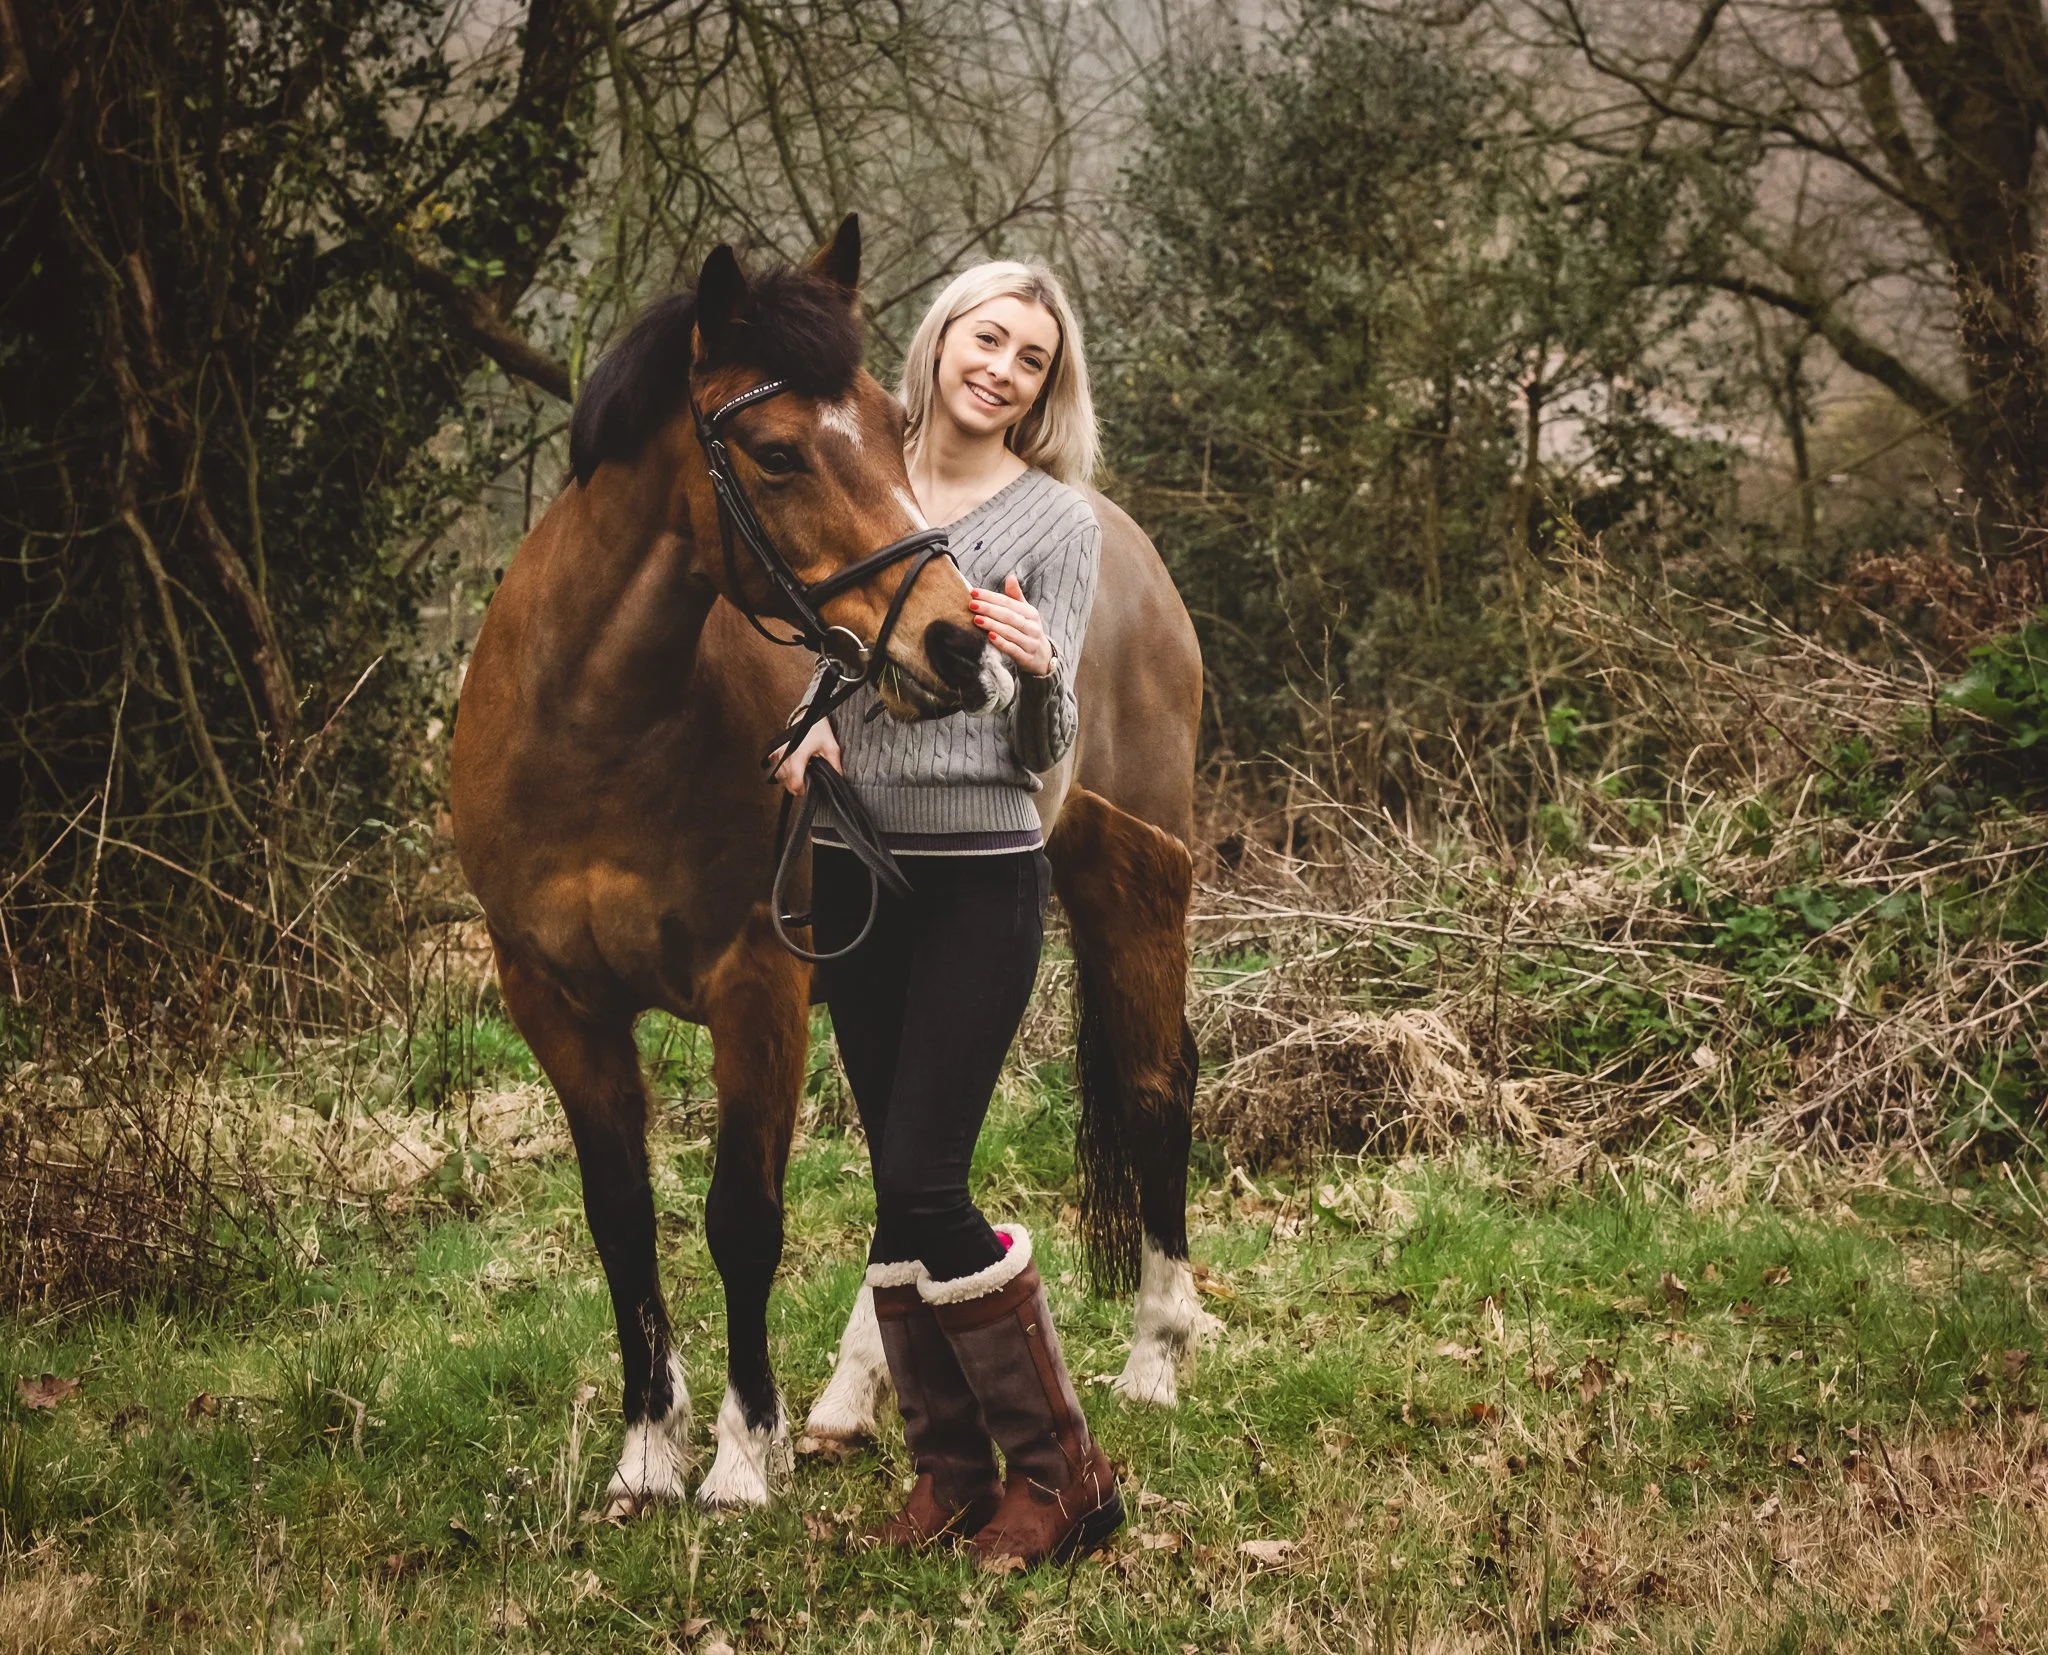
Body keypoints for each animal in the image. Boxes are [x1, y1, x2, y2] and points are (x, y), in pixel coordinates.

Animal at [449, 216, 1213, 1512]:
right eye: (773, 453)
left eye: (884, 424)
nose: (956, 644)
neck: (596, 730)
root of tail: (1127, 545)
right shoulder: (555, 1000)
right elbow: (621, 1216)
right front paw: (646, 1445)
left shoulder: (756, 989)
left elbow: (741, 1215)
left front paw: (736, 1455)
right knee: (922, 1151)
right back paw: (855, 1394)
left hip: (1134, 884)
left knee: (1155, 1082)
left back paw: (1156, 1350)